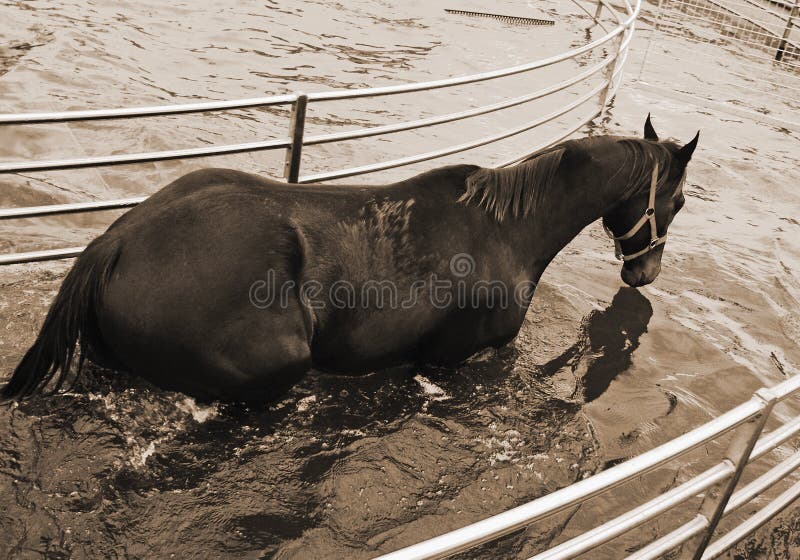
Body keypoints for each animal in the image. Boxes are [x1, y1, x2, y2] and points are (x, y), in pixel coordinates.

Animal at [1, 115, 698, 402]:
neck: (508, 229)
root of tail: (114, 243)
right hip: (274, 365)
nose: (645, 272)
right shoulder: (455, 360)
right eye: (682, 200)